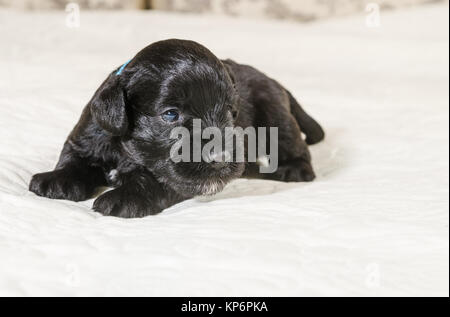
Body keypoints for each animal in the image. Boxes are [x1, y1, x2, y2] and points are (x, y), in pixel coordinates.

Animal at [28, 39, 324, 217]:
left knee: (295, 144)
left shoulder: (175, 177)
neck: (126, 149)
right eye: (171, 114)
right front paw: (57, 179)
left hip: (275, 114)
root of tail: (275, 81)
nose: (221, 158)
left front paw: (124, 197)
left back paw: (293, 169)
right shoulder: (86, 136)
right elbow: (73, 158)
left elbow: (151, 179)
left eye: (230, 111)